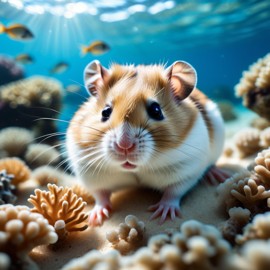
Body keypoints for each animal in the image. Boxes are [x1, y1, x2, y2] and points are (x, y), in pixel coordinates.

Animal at [66, 59, 227, 226]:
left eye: (156, 110)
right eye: (105, 112)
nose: (124, 145)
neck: (136, 169)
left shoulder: (187, 171)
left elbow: (173, 192)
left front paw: (162, 215)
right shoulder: (90, 175)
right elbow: (100, 195)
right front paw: (94, 219)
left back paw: (218, 176)